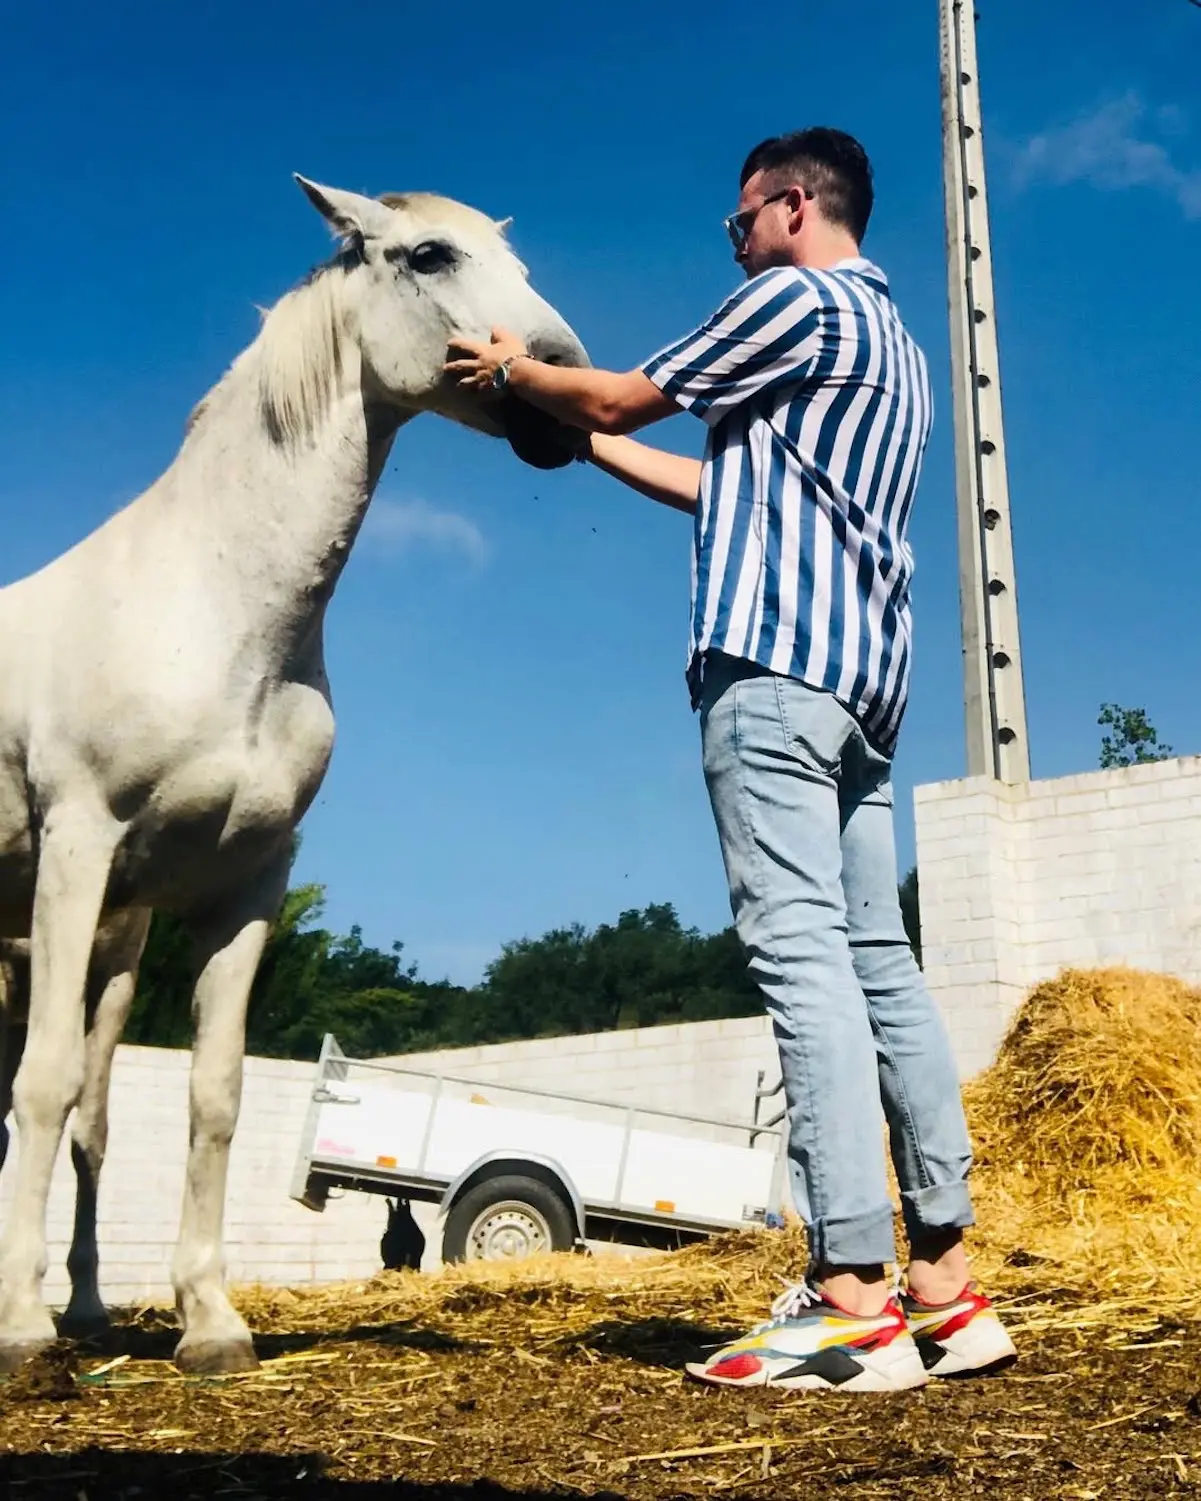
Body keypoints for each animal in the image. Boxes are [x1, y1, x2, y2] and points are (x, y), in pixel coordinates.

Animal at [0, 175, 585, 1374]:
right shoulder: (75, 848)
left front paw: (211, 1325)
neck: (213, 609)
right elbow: (41, 1088)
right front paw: (25, 1327)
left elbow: (209, 1094)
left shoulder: (246, 886)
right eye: (426, 256)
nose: (561, 396)